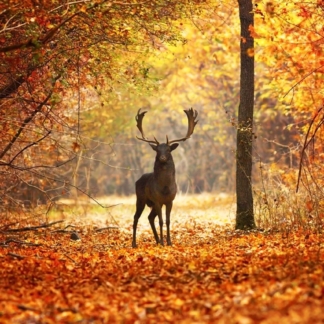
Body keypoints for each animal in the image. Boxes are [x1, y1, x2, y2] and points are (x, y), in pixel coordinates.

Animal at [131, 107, 197, 247]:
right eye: (157, 150)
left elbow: (167, 220)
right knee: (136, 217)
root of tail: (137, 180)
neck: (165, 187)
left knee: (150, 217)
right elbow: (161, 221)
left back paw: (156, 240)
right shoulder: (157, 200)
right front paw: (163, 242)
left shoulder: (170, 200)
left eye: (168, 150)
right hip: (141, 198)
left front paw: (169, 242)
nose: (162, 157)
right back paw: (134, 243)